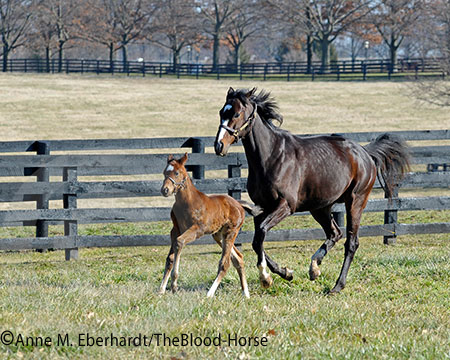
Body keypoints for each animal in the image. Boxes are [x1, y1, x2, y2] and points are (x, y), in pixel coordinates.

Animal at [159, 153, 260, 296]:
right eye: (164, 172)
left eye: (177, 173)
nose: (165, 190)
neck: (186, 202)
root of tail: (239, 204)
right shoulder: (175, 230)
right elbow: (170, 258)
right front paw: (161, 289)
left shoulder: (197, 229)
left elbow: (179, 242)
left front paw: (174, 284)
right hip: (218, 235)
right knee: (238, 258)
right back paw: (246, 294)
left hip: (231, 232)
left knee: (225, 263)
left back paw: (210, 294)